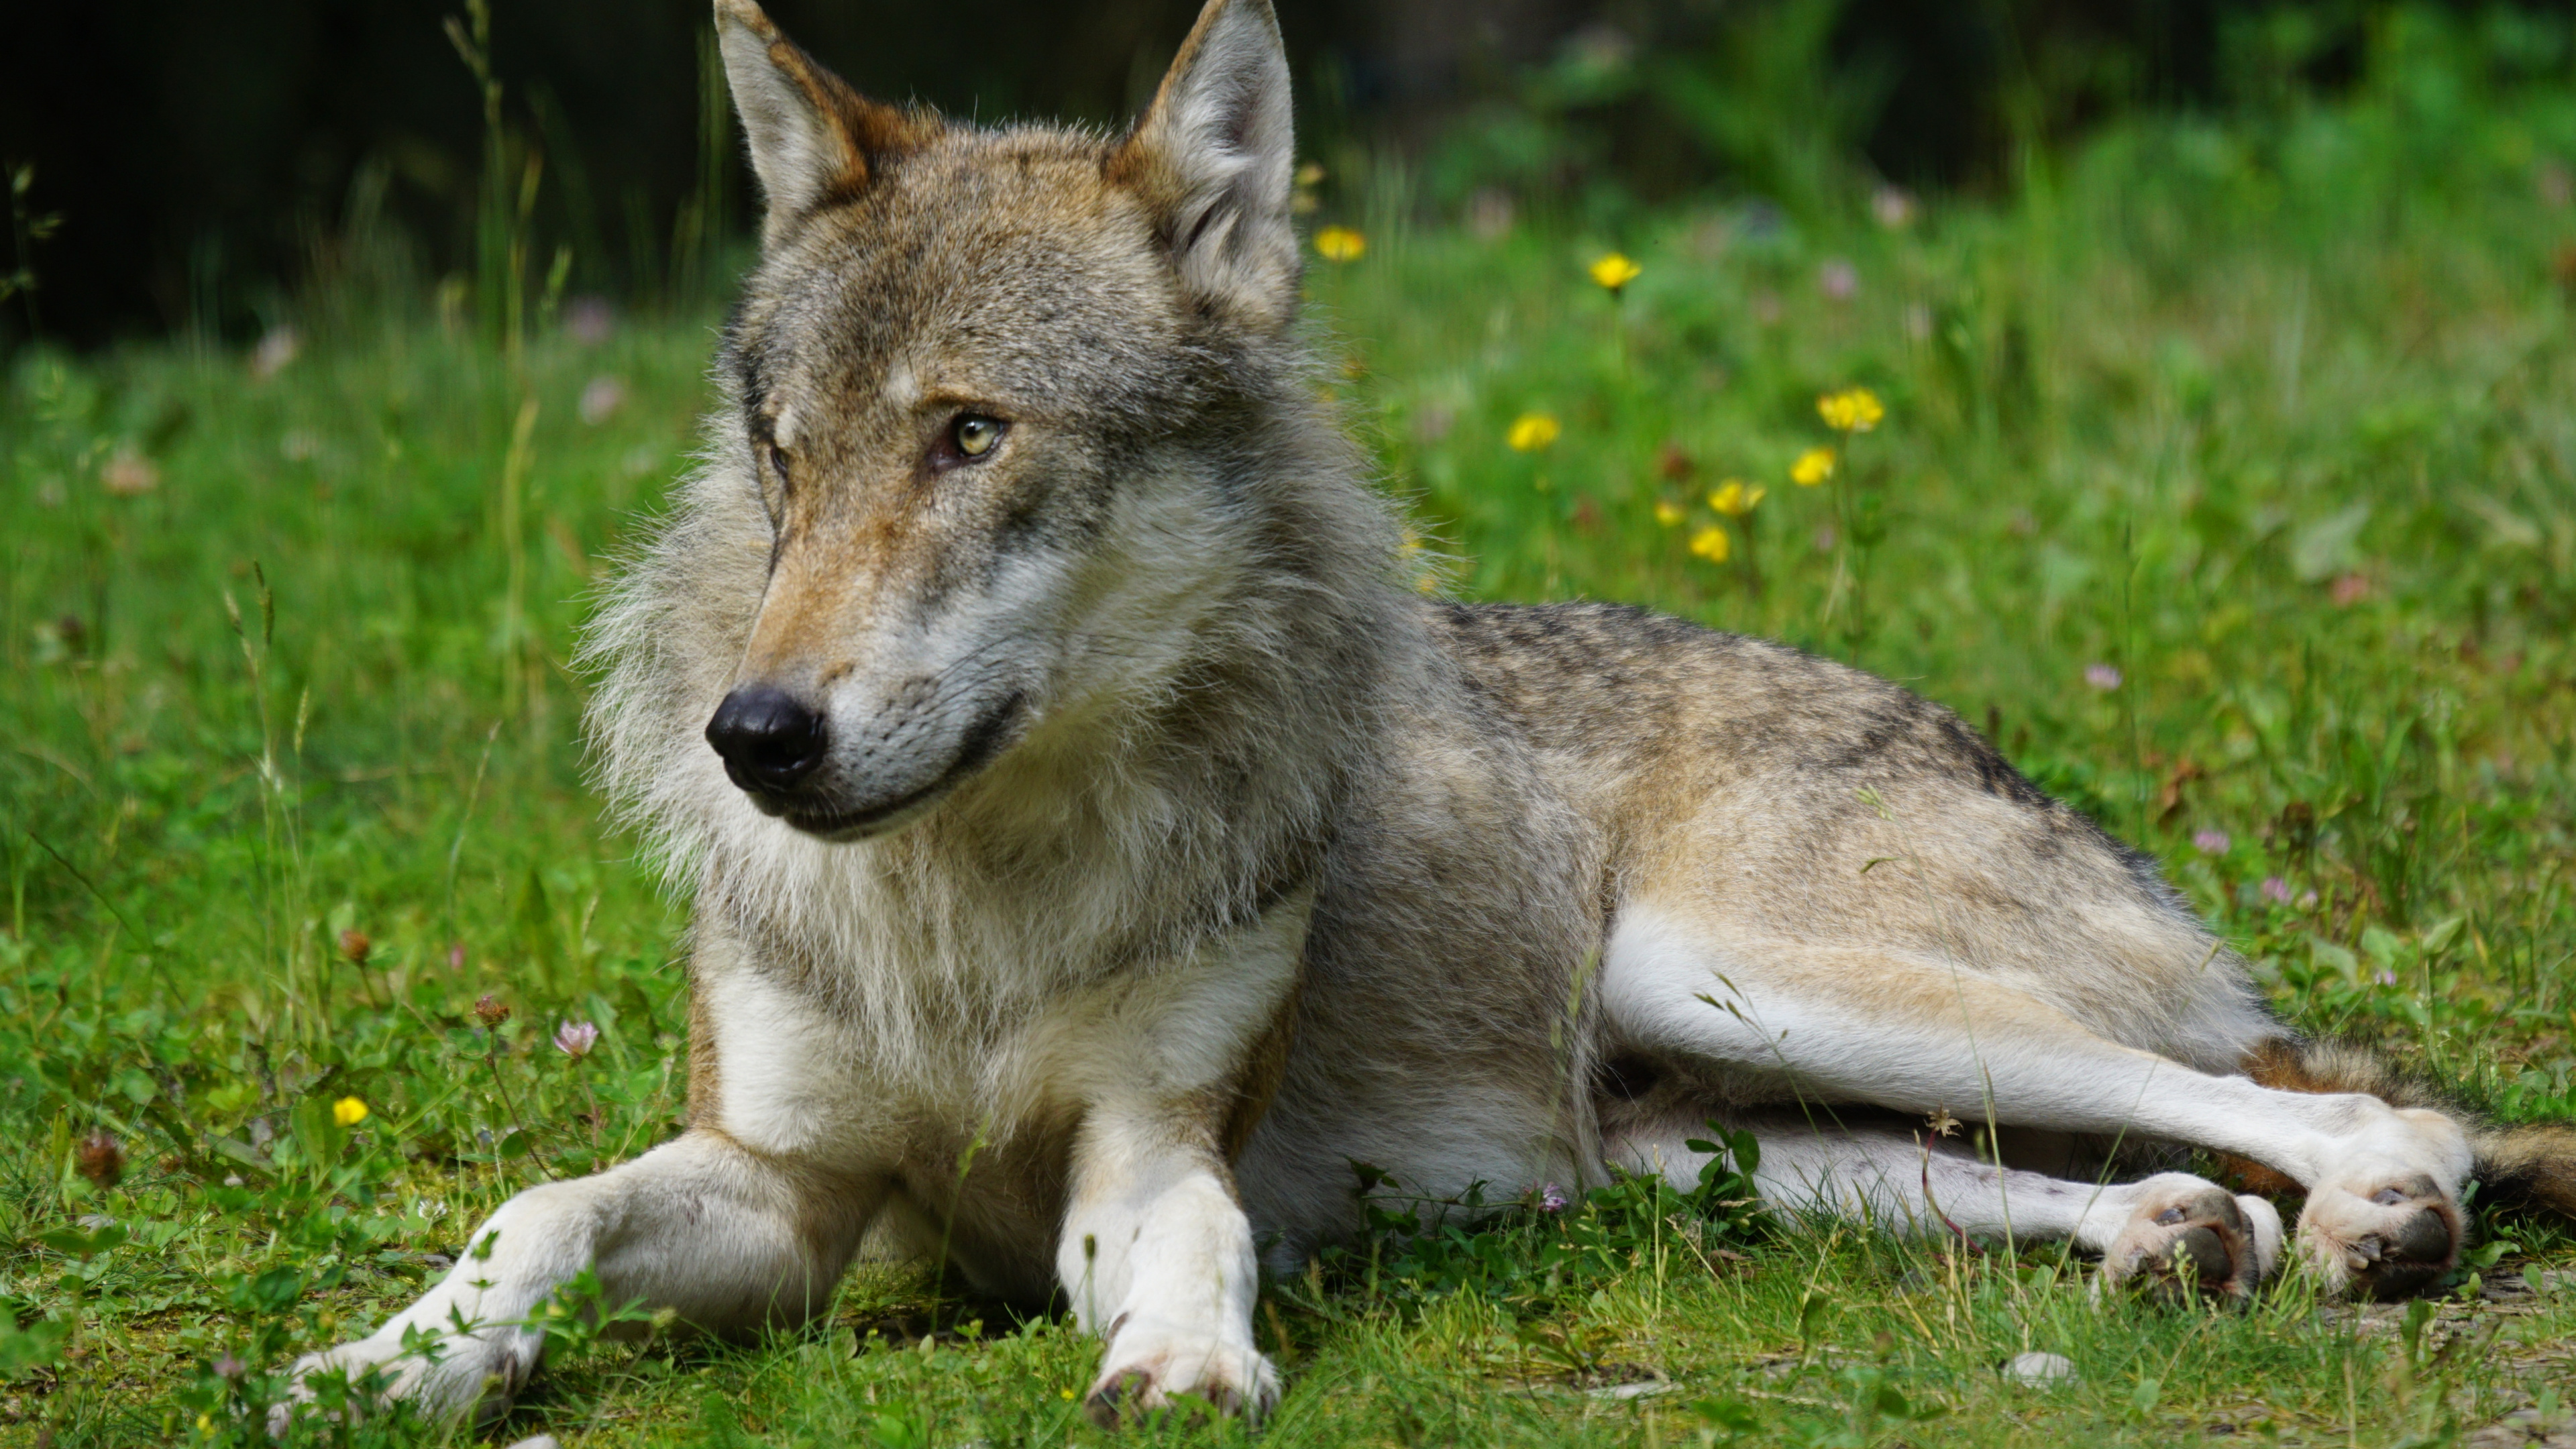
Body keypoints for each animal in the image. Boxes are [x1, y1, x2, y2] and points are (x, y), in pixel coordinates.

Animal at [285, 0, 2576, 1427]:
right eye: (783, 459)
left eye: (969, 438)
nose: (752, 738)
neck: (980, 906)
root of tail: (1965, 734)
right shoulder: (779, 1186)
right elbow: (538, 1213)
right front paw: (388, 1365)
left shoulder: (1145, 1147)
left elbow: (1190, 1243)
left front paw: (1185, 1366)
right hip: (1706, 1140)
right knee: (2153, 1167)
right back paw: (2178, 1242)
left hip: (1743, 974)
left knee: (2353, 1110)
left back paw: (2375, 1220)